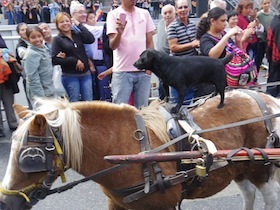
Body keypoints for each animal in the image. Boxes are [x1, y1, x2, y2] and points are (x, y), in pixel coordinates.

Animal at [0, 89, 280, 209]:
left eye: (31, 158)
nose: (4, 203)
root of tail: (265, 99)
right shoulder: (118, 205)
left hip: (260, 168)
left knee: (268, 198)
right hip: (239, 167)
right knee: (248, 194)